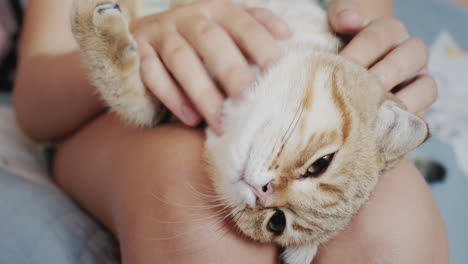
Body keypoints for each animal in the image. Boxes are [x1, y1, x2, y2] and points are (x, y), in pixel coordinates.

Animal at [70, 1, 432, 262]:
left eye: (277, 222)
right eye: (321, 164)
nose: (263, 192)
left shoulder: (165, 110)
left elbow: (125, 93)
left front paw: (98, 27)